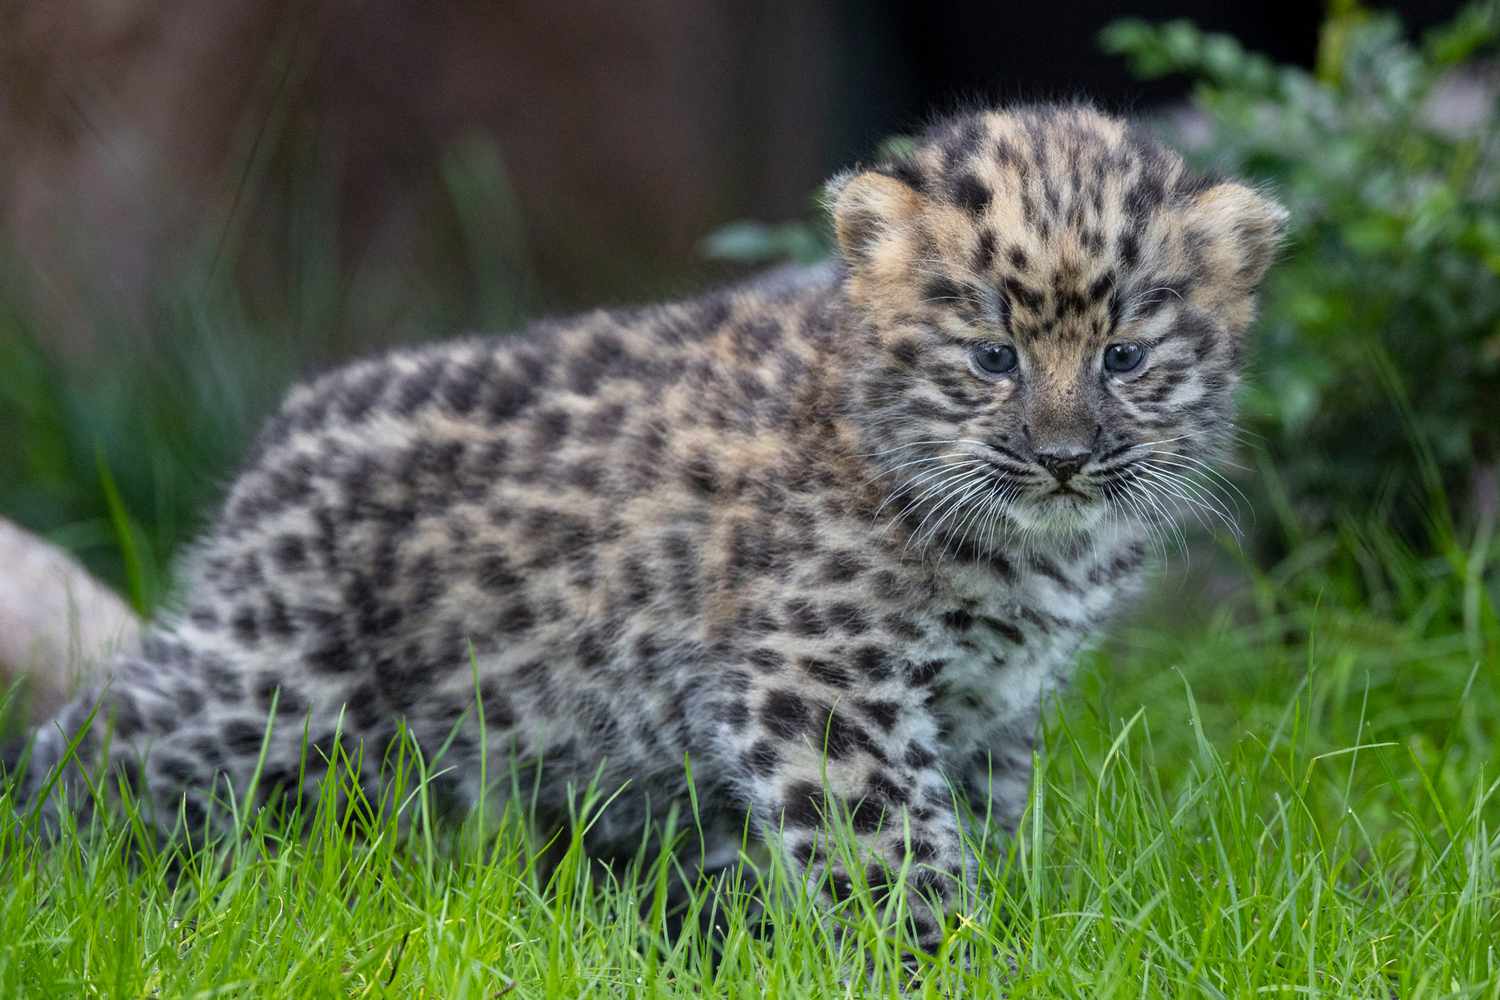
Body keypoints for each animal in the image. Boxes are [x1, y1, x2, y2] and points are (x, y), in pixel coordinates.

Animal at [5, 101, 1285, 960]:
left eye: (1126, 357)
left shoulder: (990, 711)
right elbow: (888, 844)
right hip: (281, 691)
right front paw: (945, 957)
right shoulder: (821, 681)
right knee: (108, 731)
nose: (1064, 456)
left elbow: (978, 820)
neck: (1035, 554)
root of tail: (280, 440)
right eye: (991, 357)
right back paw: (55, 868)